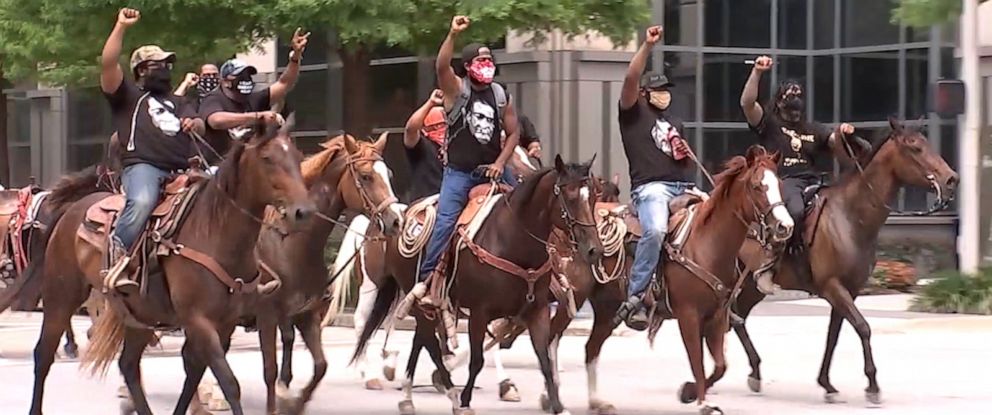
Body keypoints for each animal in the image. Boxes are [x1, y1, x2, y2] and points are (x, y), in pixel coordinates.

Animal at [25, 119, 314, 415]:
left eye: (297, 156)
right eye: (267, 158)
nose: (303, 212)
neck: (214, 231)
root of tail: (71, 210)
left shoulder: (225, 323)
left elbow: (195, 373)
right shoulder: (199, 320)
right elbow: (228, 382)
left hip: (140, 313)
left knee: (128, 364)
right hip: (61, 296)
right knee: (43, 354)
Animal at [248, 133, 404, 415]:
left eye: (388, 174)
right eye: (366, 176)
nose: (396, 221)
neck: (289, 243)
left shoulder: (306, 313)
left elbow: (320, 366)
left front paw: (295, 401)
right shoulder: (267, 315)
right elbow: (270, 368)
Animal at [352, 155, 604, 415]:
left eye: (594, 196)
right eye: (570, 196)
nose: (594, 249)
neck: (513, 240)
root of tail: (404, 215)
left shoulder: (538, 310)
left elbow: (544, 357)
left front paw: (557, 405)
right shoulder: (480, 312)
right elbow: (477, 360)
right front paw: (465, 401)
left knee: (421, 339)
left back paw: (409, 396)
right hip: (417, 297)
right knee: (429, 342)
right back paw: (448, 393)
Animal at [724, 117, 956, 406]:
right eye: (914, 147)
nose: (951, 179)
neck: (850, 217)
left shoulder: (848, 291)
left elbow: (833, 336)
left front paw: (827, 384)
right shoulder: (833, 287)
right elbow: (863, 327)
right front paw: (873, 386)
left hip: (752, 286)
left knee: (737, 318)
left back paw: (754, 371)